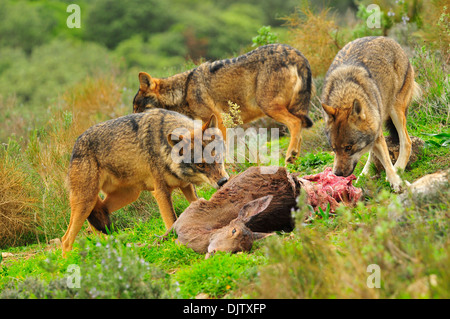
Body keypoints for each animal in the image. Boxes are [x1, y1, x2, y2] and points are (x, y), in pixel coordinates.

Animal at [61, 108, 229, 255]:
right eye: (200, 165)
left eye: (216, 156)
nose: (223, 181)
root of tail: (75, 145)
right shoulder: (161, 192)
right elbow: (172, 221)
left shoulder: (186, 185)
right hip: (86, 202)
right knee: (66, 239)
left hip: (127, 196)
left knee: (96, 220)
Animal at [133, 43, 312, 165]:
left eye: (138, 109)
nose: (133, 123)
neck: (183, 91)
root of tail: (296, 53)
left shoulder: (219, 121)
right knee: (300, 131)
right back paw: (294, 160)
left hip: (269, 107)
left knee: (296, 123)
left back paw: (290, 156)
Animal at [320, 37, 422, 192]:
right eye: (333, 149)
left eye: (348, 148)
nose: (337, 174)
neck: (345, 95)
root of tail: (389, 40)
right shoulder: (375, 133)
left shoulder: (377, 134)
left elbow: (387, 162)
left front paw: (396, 181)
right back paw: (364, 174)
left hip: (395, 111)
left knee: (407, 142)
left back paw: (398, 168)